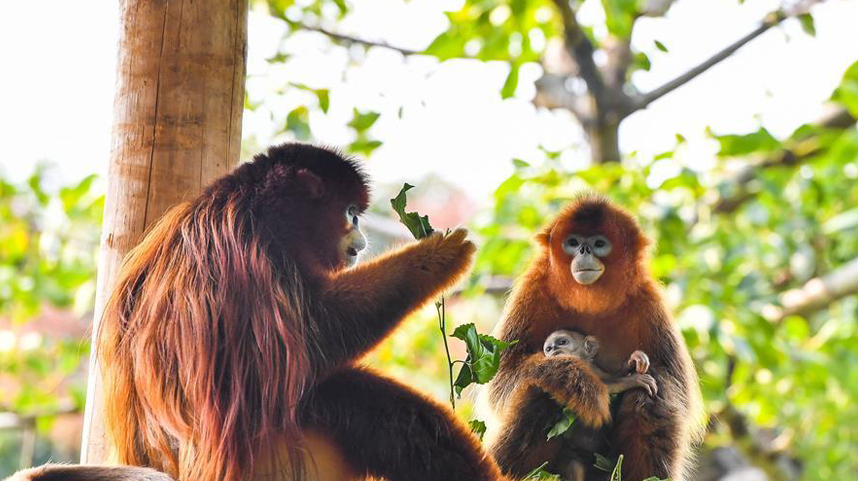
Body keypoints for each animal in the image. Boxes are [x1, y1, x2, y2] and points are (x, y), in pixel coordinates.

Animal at [6, 142, 508, 480]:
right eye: (351, 213)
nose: (362, 242)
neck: (245, 202)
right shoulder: (255, 248)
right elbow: (312, 340)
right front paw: (437, 257)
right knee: (339, 391)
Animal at [484, 195, 700, 480]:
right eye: (573, 242)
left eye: (599, 243)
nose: (584, 250)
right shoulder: (533, 290)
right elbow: (502, 382)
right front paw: (576, 380)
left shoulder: (647, 300)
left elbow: (674, 385)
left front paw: (636, 364)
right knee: (538, 389)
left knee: (653, 389)